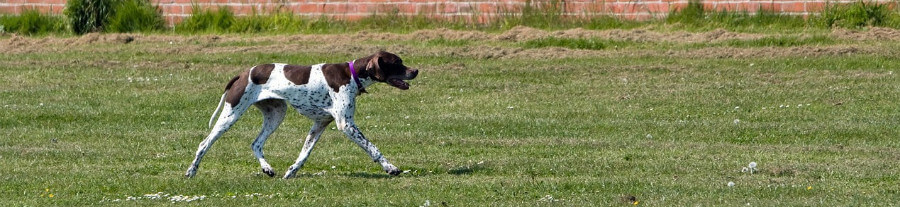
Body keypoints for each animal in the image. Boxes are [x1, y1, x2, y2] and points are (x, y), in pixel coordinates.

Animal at [185, 51, 422, 179]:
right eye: (397, 62)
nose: (416, 71)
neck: (353, 75)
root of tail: (243, 74)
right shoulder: (346, 124)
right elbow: (373, 148)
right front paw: (390, 167)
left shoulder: (320, 124)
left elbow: (304, 154)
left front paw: (291, 171)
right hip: (230, 115)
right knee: (204, 144)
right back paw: (191, 171)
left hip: (276, 114)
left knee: (256, 143)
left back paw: (267, 168)